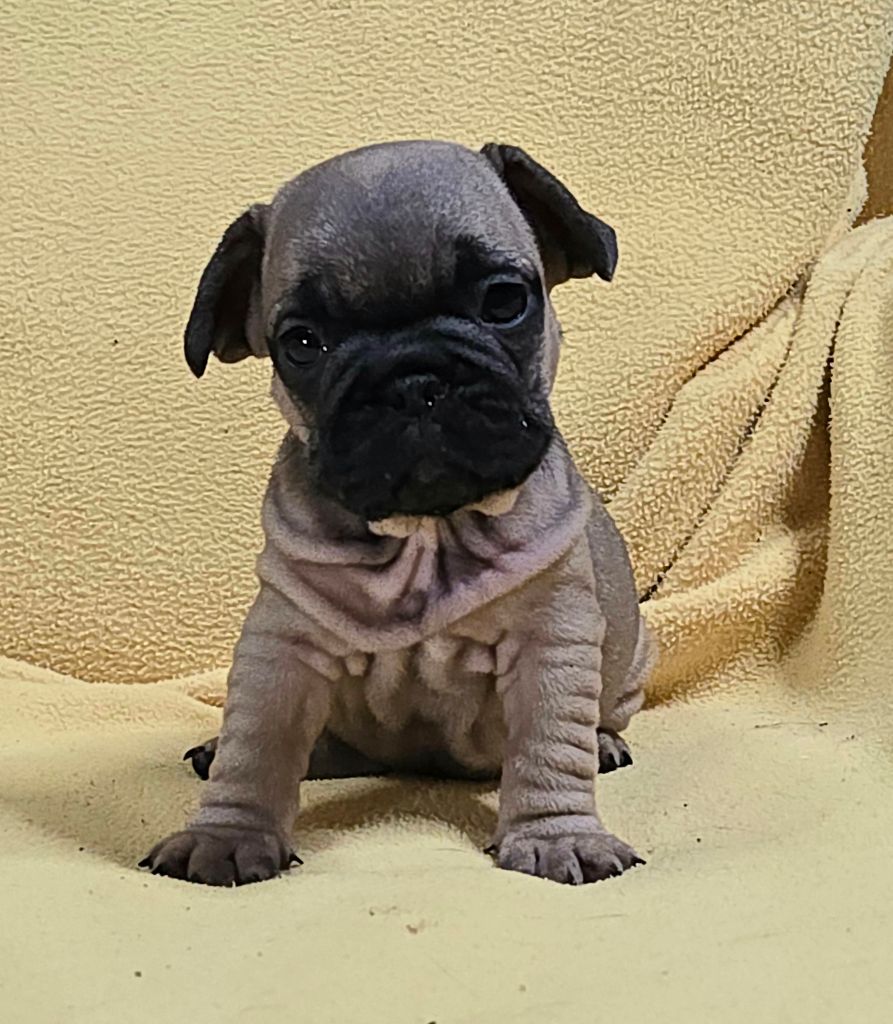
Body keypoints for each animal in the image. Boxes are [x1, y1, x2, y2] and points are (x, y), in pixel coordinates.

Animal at [140, 140, 656, 887]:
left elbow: (547, 746)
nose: (413, 380)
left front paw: (559, 835)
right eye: (303, 342)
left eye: (505, 300)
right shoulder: (280, 646)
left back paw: (605, 742)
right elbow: (257, 744)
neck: (427, 534)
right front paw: (226, 834)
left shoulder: (551, 641)